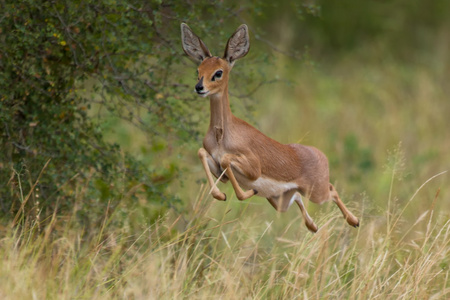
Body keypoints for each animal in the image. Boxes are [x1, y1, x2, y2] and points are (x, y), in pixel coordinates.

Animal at [181, 23, 360, 232]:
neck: (222, 136)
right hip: (280, 200)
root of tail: (320, 154)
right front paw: (221, 195)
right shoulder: (219, 172)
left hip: (317, 193)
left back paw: (354, 221)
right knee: (298, 199)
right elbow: (202, 152)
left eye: (218, 72)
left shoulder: (252, 169)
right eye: (198, 70)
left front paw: (247, 191)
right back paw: (313, 226)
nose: (199, 87)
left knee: (332, 190)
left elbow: (226, 161)